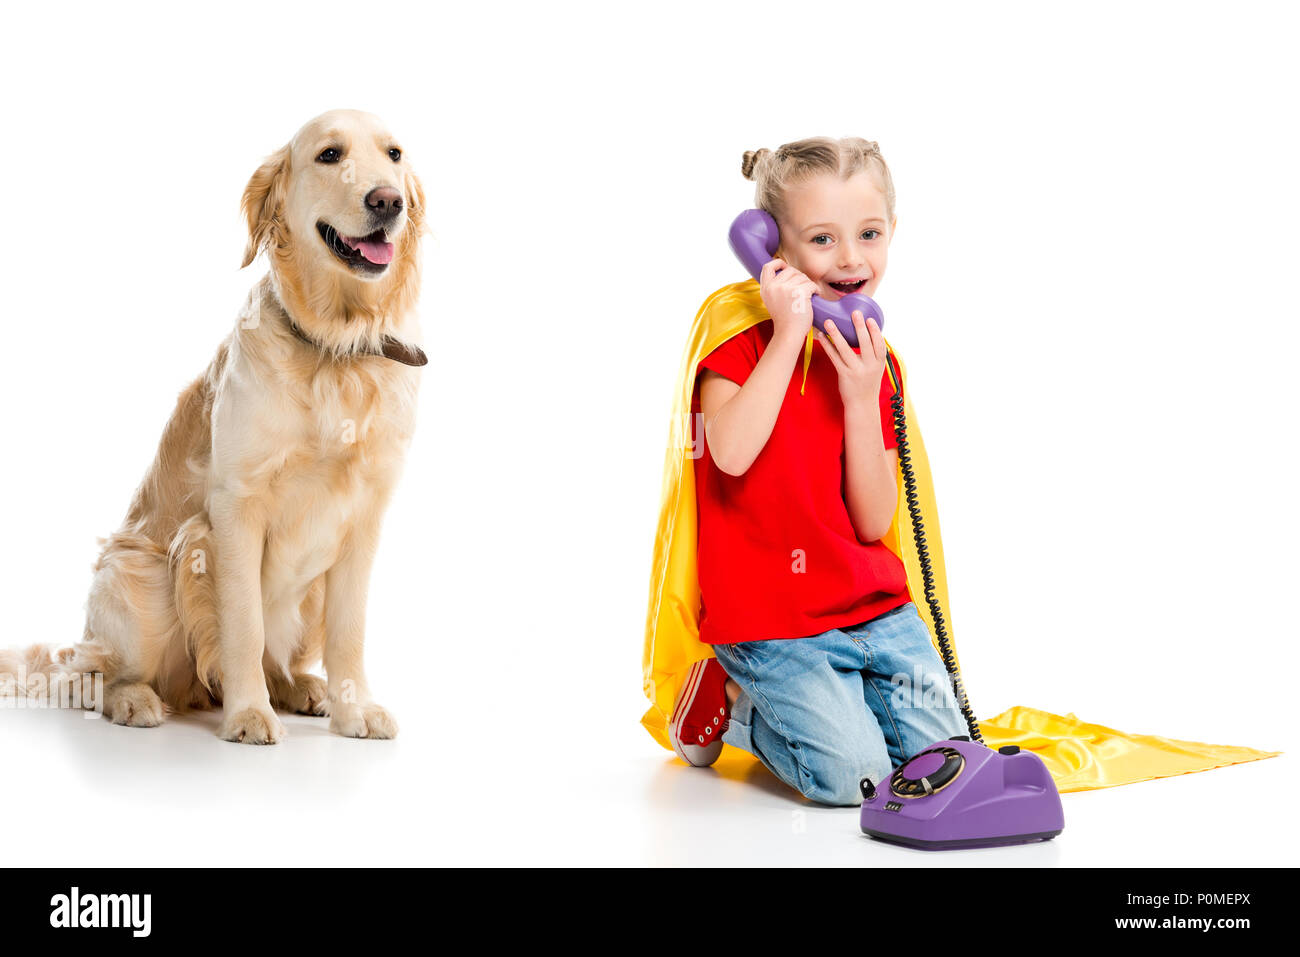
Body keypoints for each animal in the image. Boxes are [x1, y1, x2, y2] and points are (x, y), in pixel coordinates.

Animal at [0, 108, 426, 743]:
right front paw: (248, 714)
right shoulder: (234, 508)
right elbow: (242, 625)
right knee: (92, 675)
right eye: (329, 154)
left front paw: (355, 709)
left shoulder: (366, 513)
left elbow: (350, 632)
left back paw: (302, 687)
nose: (388, 201)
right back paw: (138, 700)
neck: (334, 347)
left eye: (394, 155)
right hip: (137, 579)